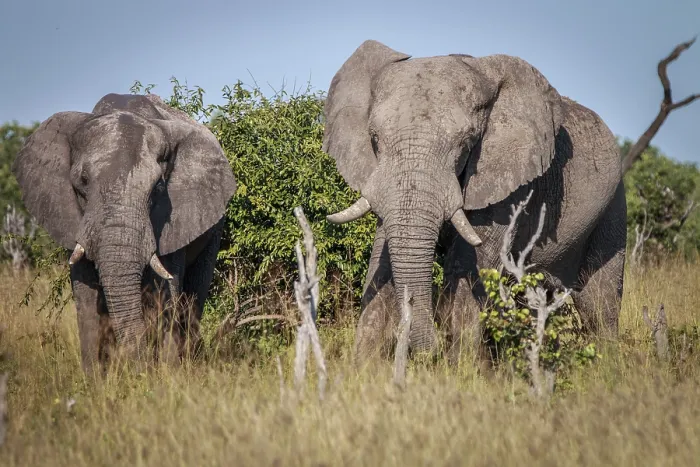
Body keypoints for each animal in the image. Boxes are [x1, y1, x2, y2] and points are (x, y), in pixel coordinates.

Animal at [13, 92, 236, 374]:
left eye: (158, 187)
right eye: (82, 181)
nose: (138, 368)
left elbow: (165, 291)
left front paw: (167, 375)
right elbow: (86, 295)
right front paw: (95, 379)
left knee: (194, 295)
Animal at [322, 40, 627, 363]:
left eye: (466, 143)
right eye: (375, 138)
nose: (429, 352)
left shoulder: (507, 181)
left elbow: (470, 260)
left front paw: (459, 369)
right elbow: (383, 257)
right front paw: (365, 367)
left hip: (613, 206)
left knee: (599, 303)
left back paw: (606, 366)